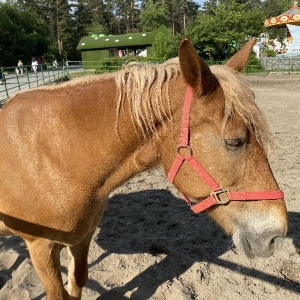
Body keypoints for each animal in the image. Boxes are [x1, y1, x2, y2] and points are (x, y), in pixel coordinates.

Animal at [0, 38, 288, 298]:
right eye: (235, 142)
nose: (276, 236)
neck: (55, 156)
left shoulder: (82, 239)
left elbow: (78, 281)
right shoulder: (41, 248)